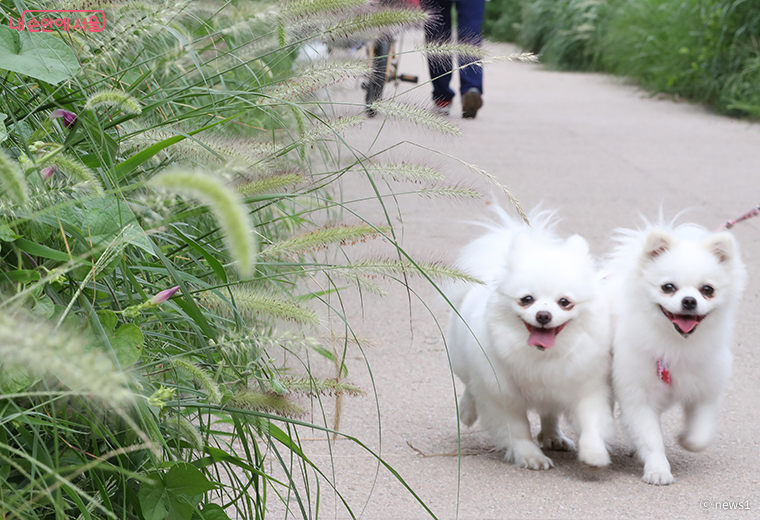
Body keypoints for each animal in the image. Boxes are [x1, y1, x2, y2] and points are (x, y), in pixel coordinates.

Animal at [448, 208, 616, 472]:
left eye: (564, 302)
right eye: (526, 300)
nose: (543, 315)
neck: (542, 355)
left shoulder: (587, 387)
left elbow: (592, 422)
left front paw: (594, 453)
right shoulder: (502, 395)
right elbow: (518, 430)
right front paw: (530, 456)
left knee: (549, 413)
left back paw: (553, 436)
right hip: (464, 361)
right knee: (470, 385)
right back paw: (466, 411)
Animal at [608, 218, 744, 484]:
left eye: (707, 290)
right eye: (668, 287)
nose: (689, 300)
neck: (678, 344)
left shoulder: (706, 390)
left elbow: (701, 434)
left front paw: (685, 439)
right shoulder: (638, 397)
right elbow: (651, 438)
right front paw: (658, 470)